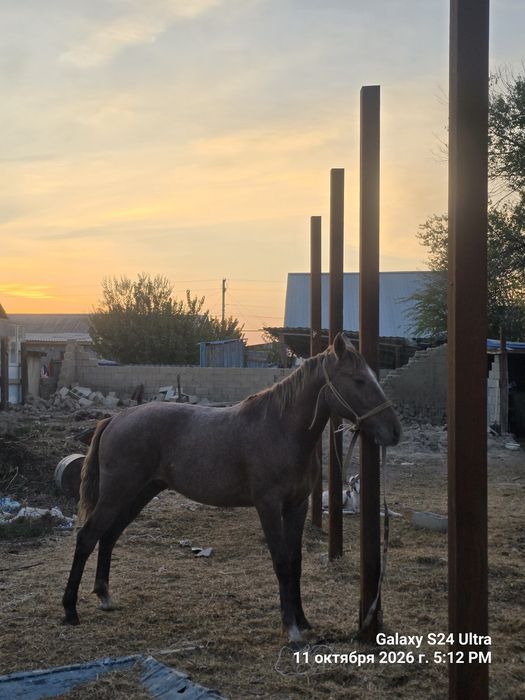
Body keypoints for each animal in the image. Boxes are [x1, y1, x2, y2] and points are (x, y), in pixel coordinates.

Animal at [62, 332, 401, 642]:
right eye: (359, 380)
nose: (394, 431)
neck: (281, 429)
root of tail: (115, 419)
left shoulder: (297, 505)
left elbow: (295, 563)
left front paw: (302, 620)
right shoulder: (268, 506)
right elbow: (281, 562)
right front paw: (290, 628)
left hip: (139, 493)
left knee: (108, 536)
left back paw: (104, 596)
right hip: (117, 493)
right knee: (87, 537)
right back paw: (70, 610)